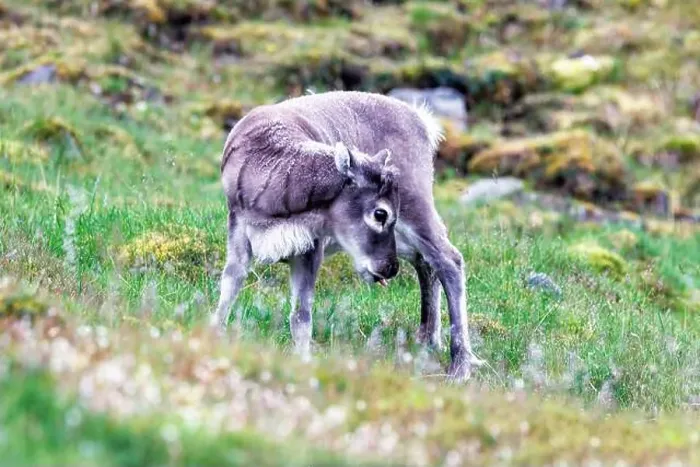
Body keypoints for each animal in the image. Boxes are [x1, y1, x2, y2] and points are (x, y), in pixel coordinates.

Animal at [210, 90, 484, 382]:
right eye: (380, 213)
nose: (389, 269)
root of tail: (423, 122)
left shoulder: (311, 247)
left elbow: (301, 316)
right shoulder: (237, 225)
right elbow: (230, 285)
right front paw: (215, 333)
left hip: (416, 206)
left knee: (449, 258)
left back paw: (460, 366)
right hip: (401, 236)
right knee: (425, 261)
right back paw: (428, 341)